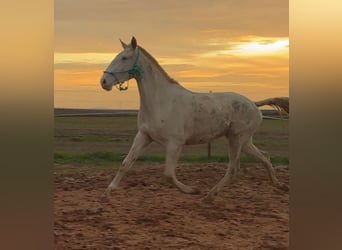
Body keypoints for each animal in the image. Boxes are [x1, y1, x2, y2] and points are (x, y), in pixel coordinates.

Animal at [99, 36, 288, 202]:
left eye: (124, 58)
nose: (104, 81)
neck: (161, 101)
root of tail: (254, 104)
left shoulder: (175, 143)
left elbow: (168, 174)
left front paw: (193, 190)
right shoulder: (144, 136)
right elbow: (126, 163)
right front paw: (108, 193)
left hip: (236, 139)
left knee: (234, 168)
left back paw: (208, 196)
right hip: (244, 141)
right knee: (264, 157)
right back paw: (279, 185)